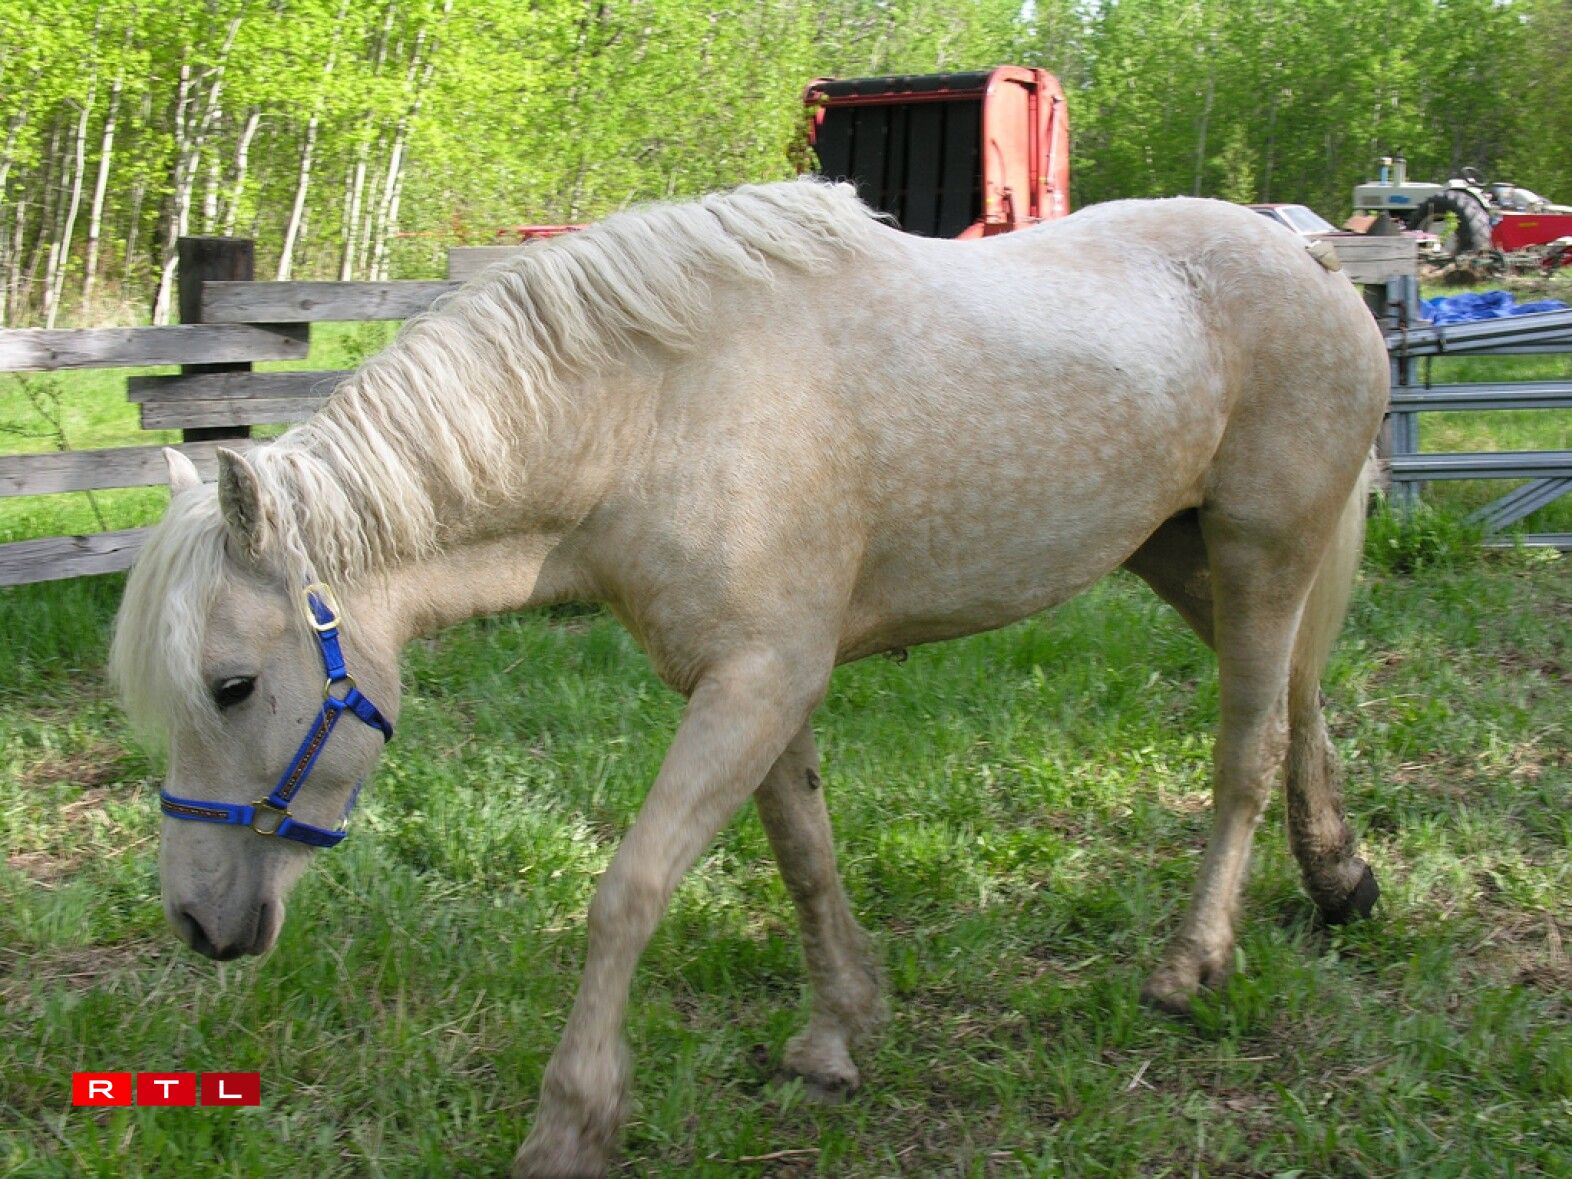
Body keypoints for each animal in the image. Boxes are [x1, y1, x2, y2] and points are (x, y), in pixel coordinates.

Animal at [109, 178, 1390, 1178]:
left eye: (231, 687)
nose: (196, 922)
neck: (651, 417)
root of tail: (1309, 256)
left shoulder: (757, 683)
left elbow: (629, 890)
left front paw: (573, 1122)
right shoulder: (757, 685)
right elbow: (805, 855)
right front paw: (838, 1033)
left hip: (1261, 549)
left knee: (1248, 747)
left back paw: (1190, 964)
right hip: (1187, 555)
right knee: (1300, 696)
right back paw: (1340, 876)